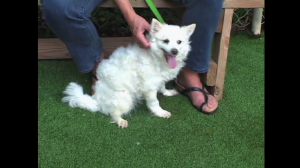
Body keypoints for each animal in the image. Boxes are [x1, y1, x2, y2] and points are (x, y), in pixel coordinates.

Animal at [62, 18, 196, 128]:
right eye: (166, 41)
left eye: (179, 42)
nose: (174, 51)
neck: (156, 57)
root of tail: (97, 100)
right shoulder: (149, 86)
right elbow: (154, 102)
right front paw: (160, 112)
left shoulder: (159, 79)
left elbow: (162, 87)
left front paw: (167, 92)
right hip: (125, 97)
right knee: (113, 112)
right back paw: (120, 121)